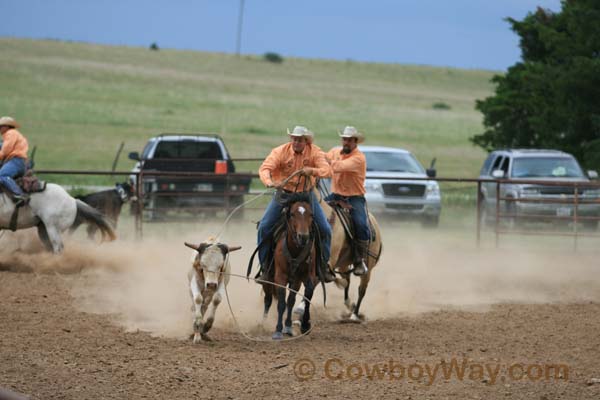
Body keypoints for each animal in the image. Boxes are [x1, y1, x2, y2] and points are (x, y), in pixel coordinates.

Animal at [262, 192, 318, 340]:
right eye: (292, 214)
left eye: (311, 214)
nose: (303, 237)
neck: (295, 250)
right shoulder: (280, 277)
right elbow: (281, 303)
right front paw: (277, 330)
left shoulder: (303, 277)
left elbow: (299, 298)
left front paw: (302, 325)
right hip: (268, 279)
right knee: (268, 299)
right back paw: (263, 322)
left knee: (289, 300)